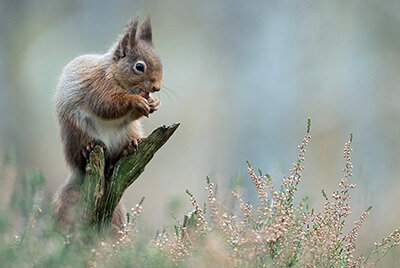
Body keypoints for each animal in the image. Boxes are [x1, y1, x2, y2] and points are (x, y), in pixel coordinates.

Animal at [52, 16, 162, 234]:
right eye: (139, 67)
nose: (157, 87)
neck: (115, 75)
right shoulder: (97, 86)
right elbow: (107, 105)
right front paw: (135, 101)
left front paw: (154, 103)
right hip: (77, 132)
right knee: (83, 155)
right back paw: (88, 148)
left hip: (127, 132)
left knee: (117, 156)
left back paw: (131, 145)